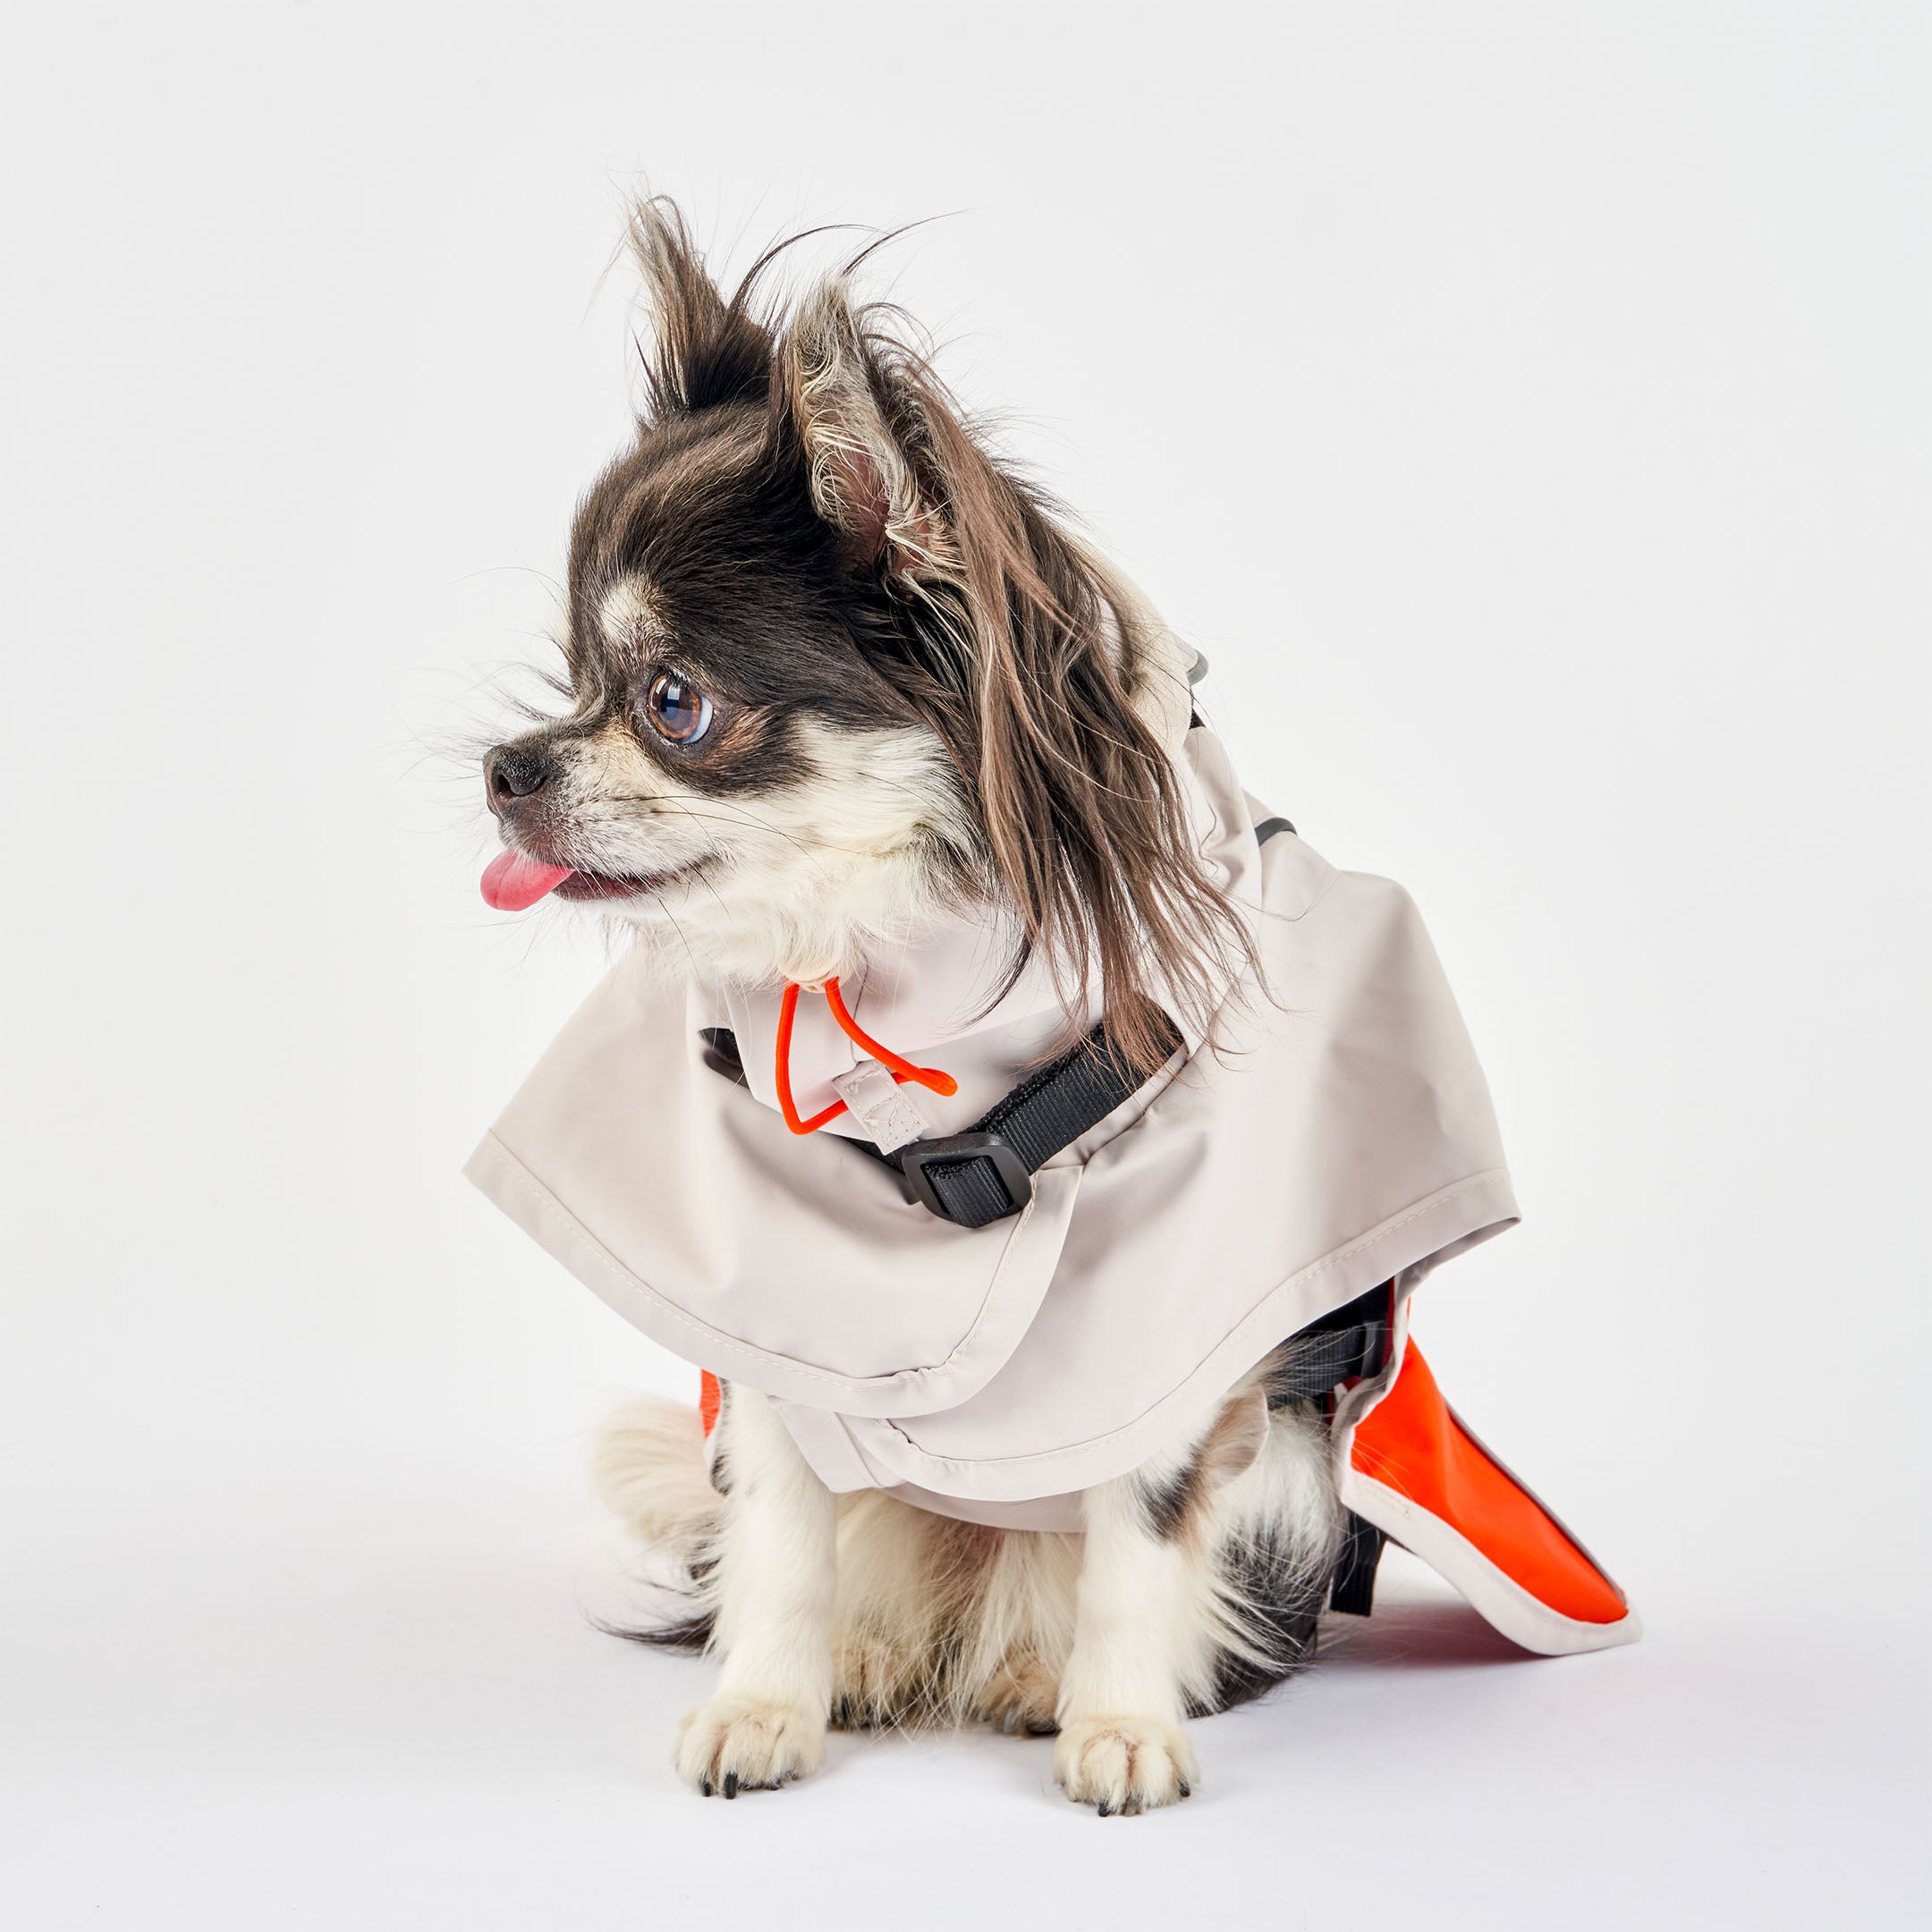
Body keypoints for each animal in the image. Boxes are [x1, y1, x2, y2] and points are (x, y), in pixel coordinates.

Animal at [471, 199, 1631, 1808]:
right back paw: (874, 1658)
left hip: (1291, 1460)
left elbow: (1138, 1539)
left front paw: (1119, 1724)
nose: (503, 769)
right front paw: (768, 1703)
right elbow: (782, 1524)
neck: (898, 980)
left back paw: (1035, 1676)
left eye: (671, 702)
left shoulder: (1186, 1324)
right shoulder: (769, 1316)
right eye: (568, 678)